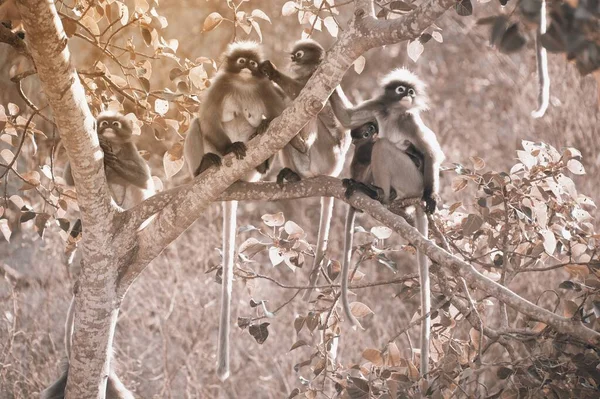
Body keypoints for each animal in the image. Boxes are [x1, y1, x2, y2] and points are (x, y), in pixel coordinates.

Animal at [258, 40, 352, 304]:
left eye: (298, 55)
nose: (290, 59)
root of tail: (333, 171)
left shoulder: (316, 84)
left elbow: (306, 98)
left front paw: (273, 72)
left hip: (325, 155)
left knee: (315, 115)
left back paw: (300, 143)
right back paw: (292, 174)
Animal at [332, 70, 446, 376]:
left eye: (410, 91)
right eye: (400, 90)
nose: (408, 94)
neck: (395, 114)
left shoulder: (410, 120)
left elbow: (432, 154)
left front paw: (433, 196)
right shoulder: (379, 107)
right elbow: (347, 117)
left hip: (411, 179)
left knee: (383, 147)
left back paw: (380, 194)